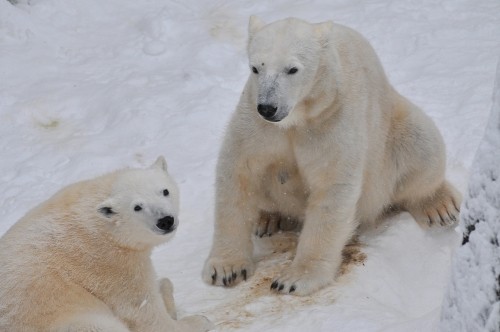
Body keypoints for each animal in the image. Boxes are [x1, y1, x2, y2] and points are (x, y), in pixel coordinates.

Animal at [0, 158, 213, 332]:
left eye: (165, 191)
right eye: (137, 207)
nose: (165, 221)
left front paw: (164, 286)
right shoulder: (108, 263)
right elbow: (143, 311)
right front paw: (199, 320)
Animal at [202, 16, 460, 296]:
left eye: (292, 69)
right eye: (255, 68)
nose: (268, 107)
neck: (297, 117)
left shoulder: (332, 121)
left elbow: (332, 187)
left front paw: (294, 279)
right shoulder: (255, 125)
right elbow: (238, 174)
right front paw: (226, 269)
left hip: (393, 129)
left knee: (422, 146)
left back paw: (439, 207)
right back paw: (268, 219)